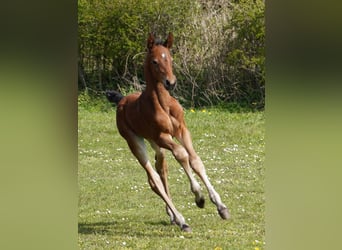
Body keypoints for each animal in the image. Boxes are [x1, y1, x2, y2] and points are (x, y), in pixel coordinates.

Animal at [106, 32, 230, 231]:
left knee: (161, 168)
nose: (170, 82)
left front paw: (221, 206)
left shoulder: (182, 130)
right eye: (155, 61)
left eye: (170, 58)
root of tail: (122, 100)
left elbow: (195, 161)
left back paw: (172, 215)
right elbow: (182, 154)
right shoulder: (162, 137)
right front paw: (199, 197)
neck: (163, 103)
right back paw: (181, 220)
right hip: (135, 142)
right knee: (154, 179)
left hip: (153, 143)